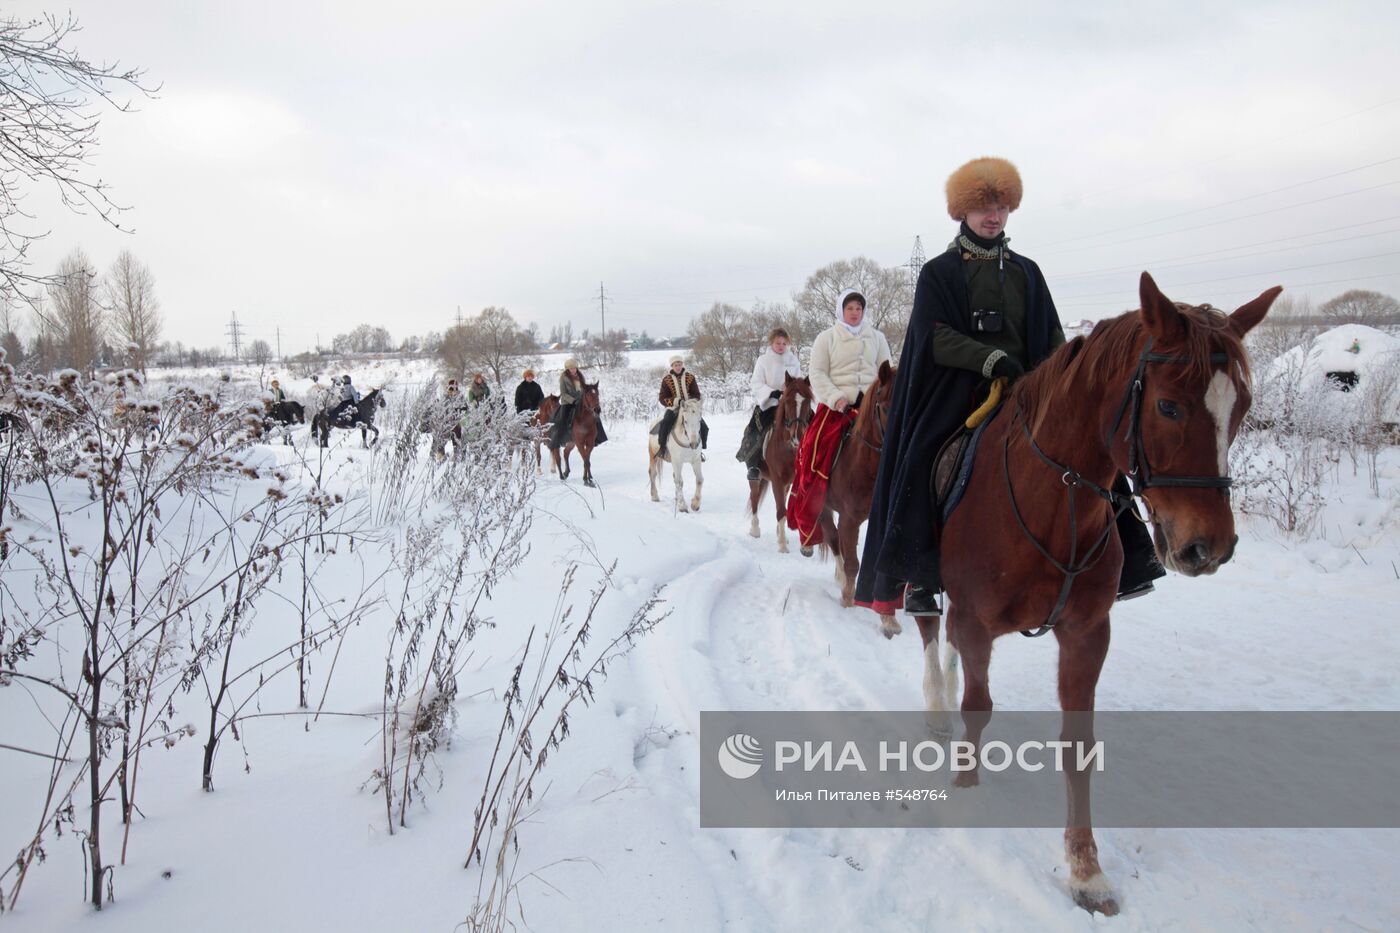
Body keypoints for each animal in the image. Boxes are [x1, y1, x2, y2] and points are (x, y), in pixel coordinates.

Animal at [744, 372, 812, 551]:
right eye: (787, 401)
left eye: (808, 402)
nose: (797, 436)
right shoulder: (776, 479)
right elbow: (781, 509)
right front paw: (782, 545)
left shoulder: (790, 481)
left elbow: (786, 508)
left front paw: (782, 537)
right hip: (756, 476)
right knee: (754, 497)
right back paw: (755, 529)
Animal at [817, 358, 896, 636]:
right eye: (886, 406)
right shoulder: (849, 519)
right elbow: (852, 562)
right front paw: (848, 599)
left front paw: (888, 619)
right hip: (822, 509)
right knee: (833, 540)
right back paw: (841, 579)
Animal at [918, 273, 1282, 913]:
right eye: (1167, 405)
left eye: (1240, 407)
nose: (1208, 546)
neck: (1050, 504)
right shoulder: (977, 620)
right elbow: (978, 706)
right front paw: (963, 790)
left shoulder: (1087, 634)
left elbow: (1078, 746)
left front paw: (1085, 870)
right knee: (930, 632)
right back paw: (937, 707)